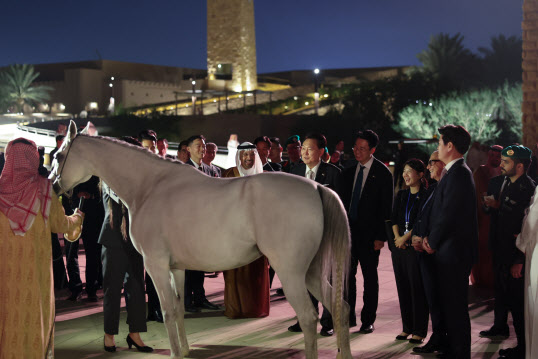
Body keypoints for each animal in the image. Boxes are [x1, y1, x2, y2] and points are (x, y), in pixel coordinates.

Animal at [50, 121, 352, 359]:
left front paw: (174, 353)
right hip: (310, 271)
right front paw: (184, 351)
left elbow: (167, 310)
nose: (53, 185)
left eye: (60, 154)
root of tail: (316, 187)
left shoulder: (156, 265)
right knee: (342, 307)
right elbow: (179, 308)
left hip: (291, 273)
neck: (150, 187)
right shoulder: (176, 268)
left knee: (309, 318)